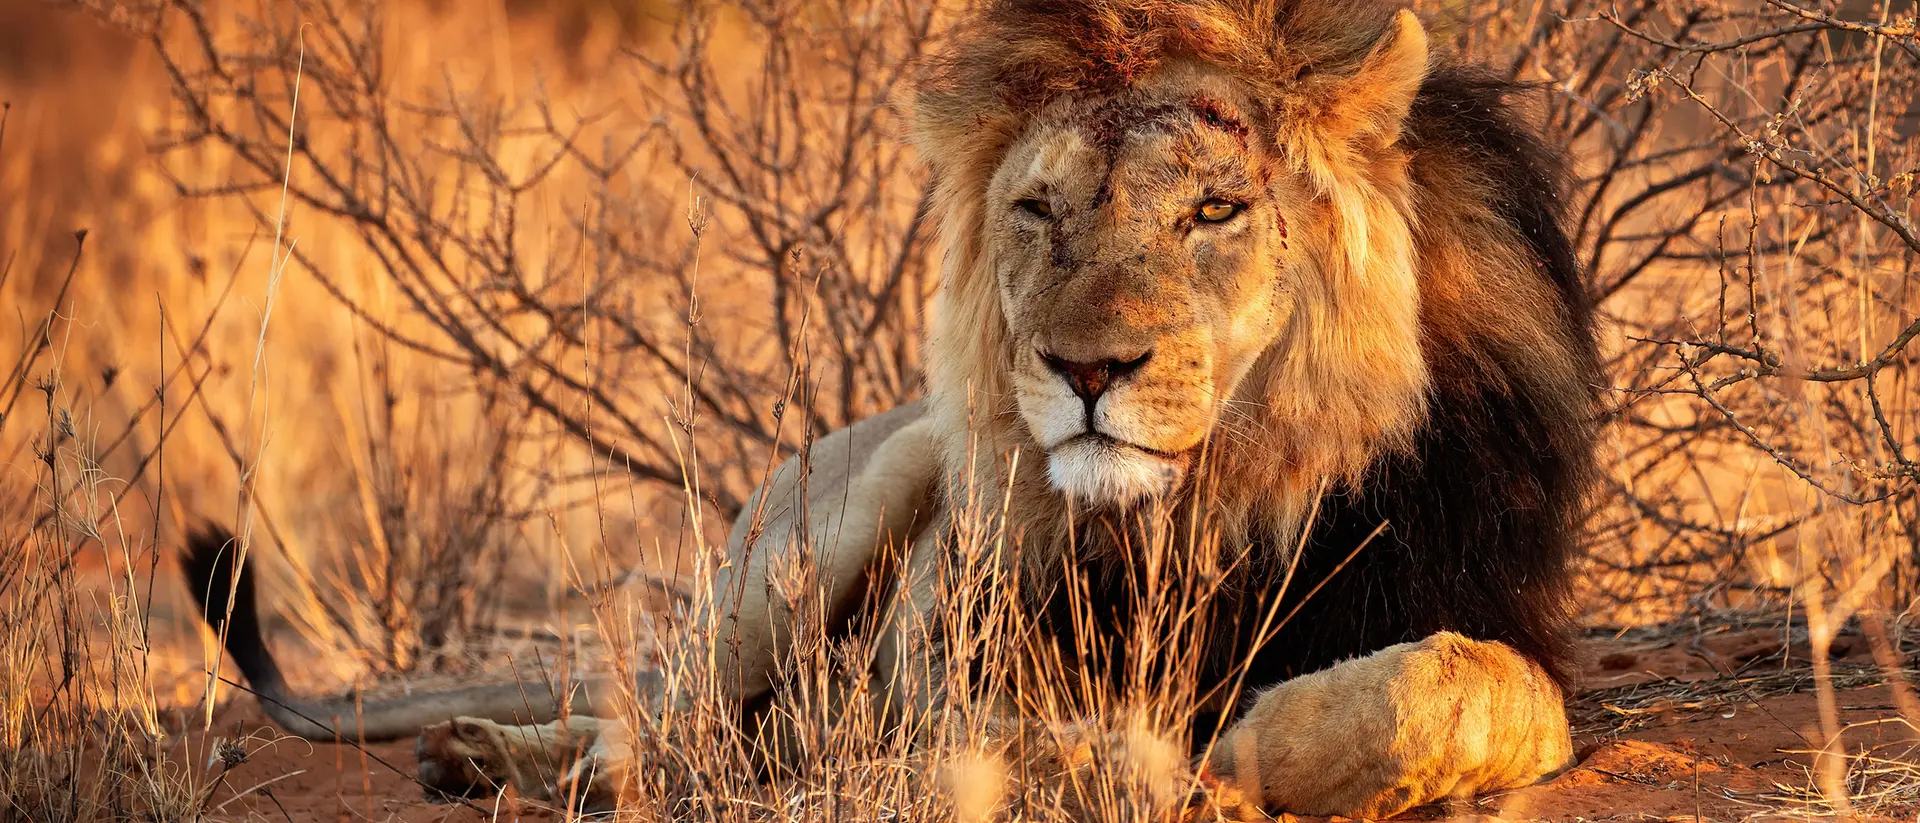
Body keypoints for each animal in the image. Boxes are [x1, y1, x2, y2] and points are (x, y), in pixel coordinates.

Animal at [181, 0, 1602, 816]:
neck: (1222, 505)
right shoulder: (949, 662)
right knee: (670, 728)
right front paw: (1178, 771)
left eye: (1215, 209)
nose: (1086, 370)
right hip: (839, 517)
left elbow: (1469, 694)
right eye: (1038, 209)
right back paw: (512, 758)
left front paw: (1260, 743)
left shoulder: (1483, 602)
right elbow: (1018, 746)